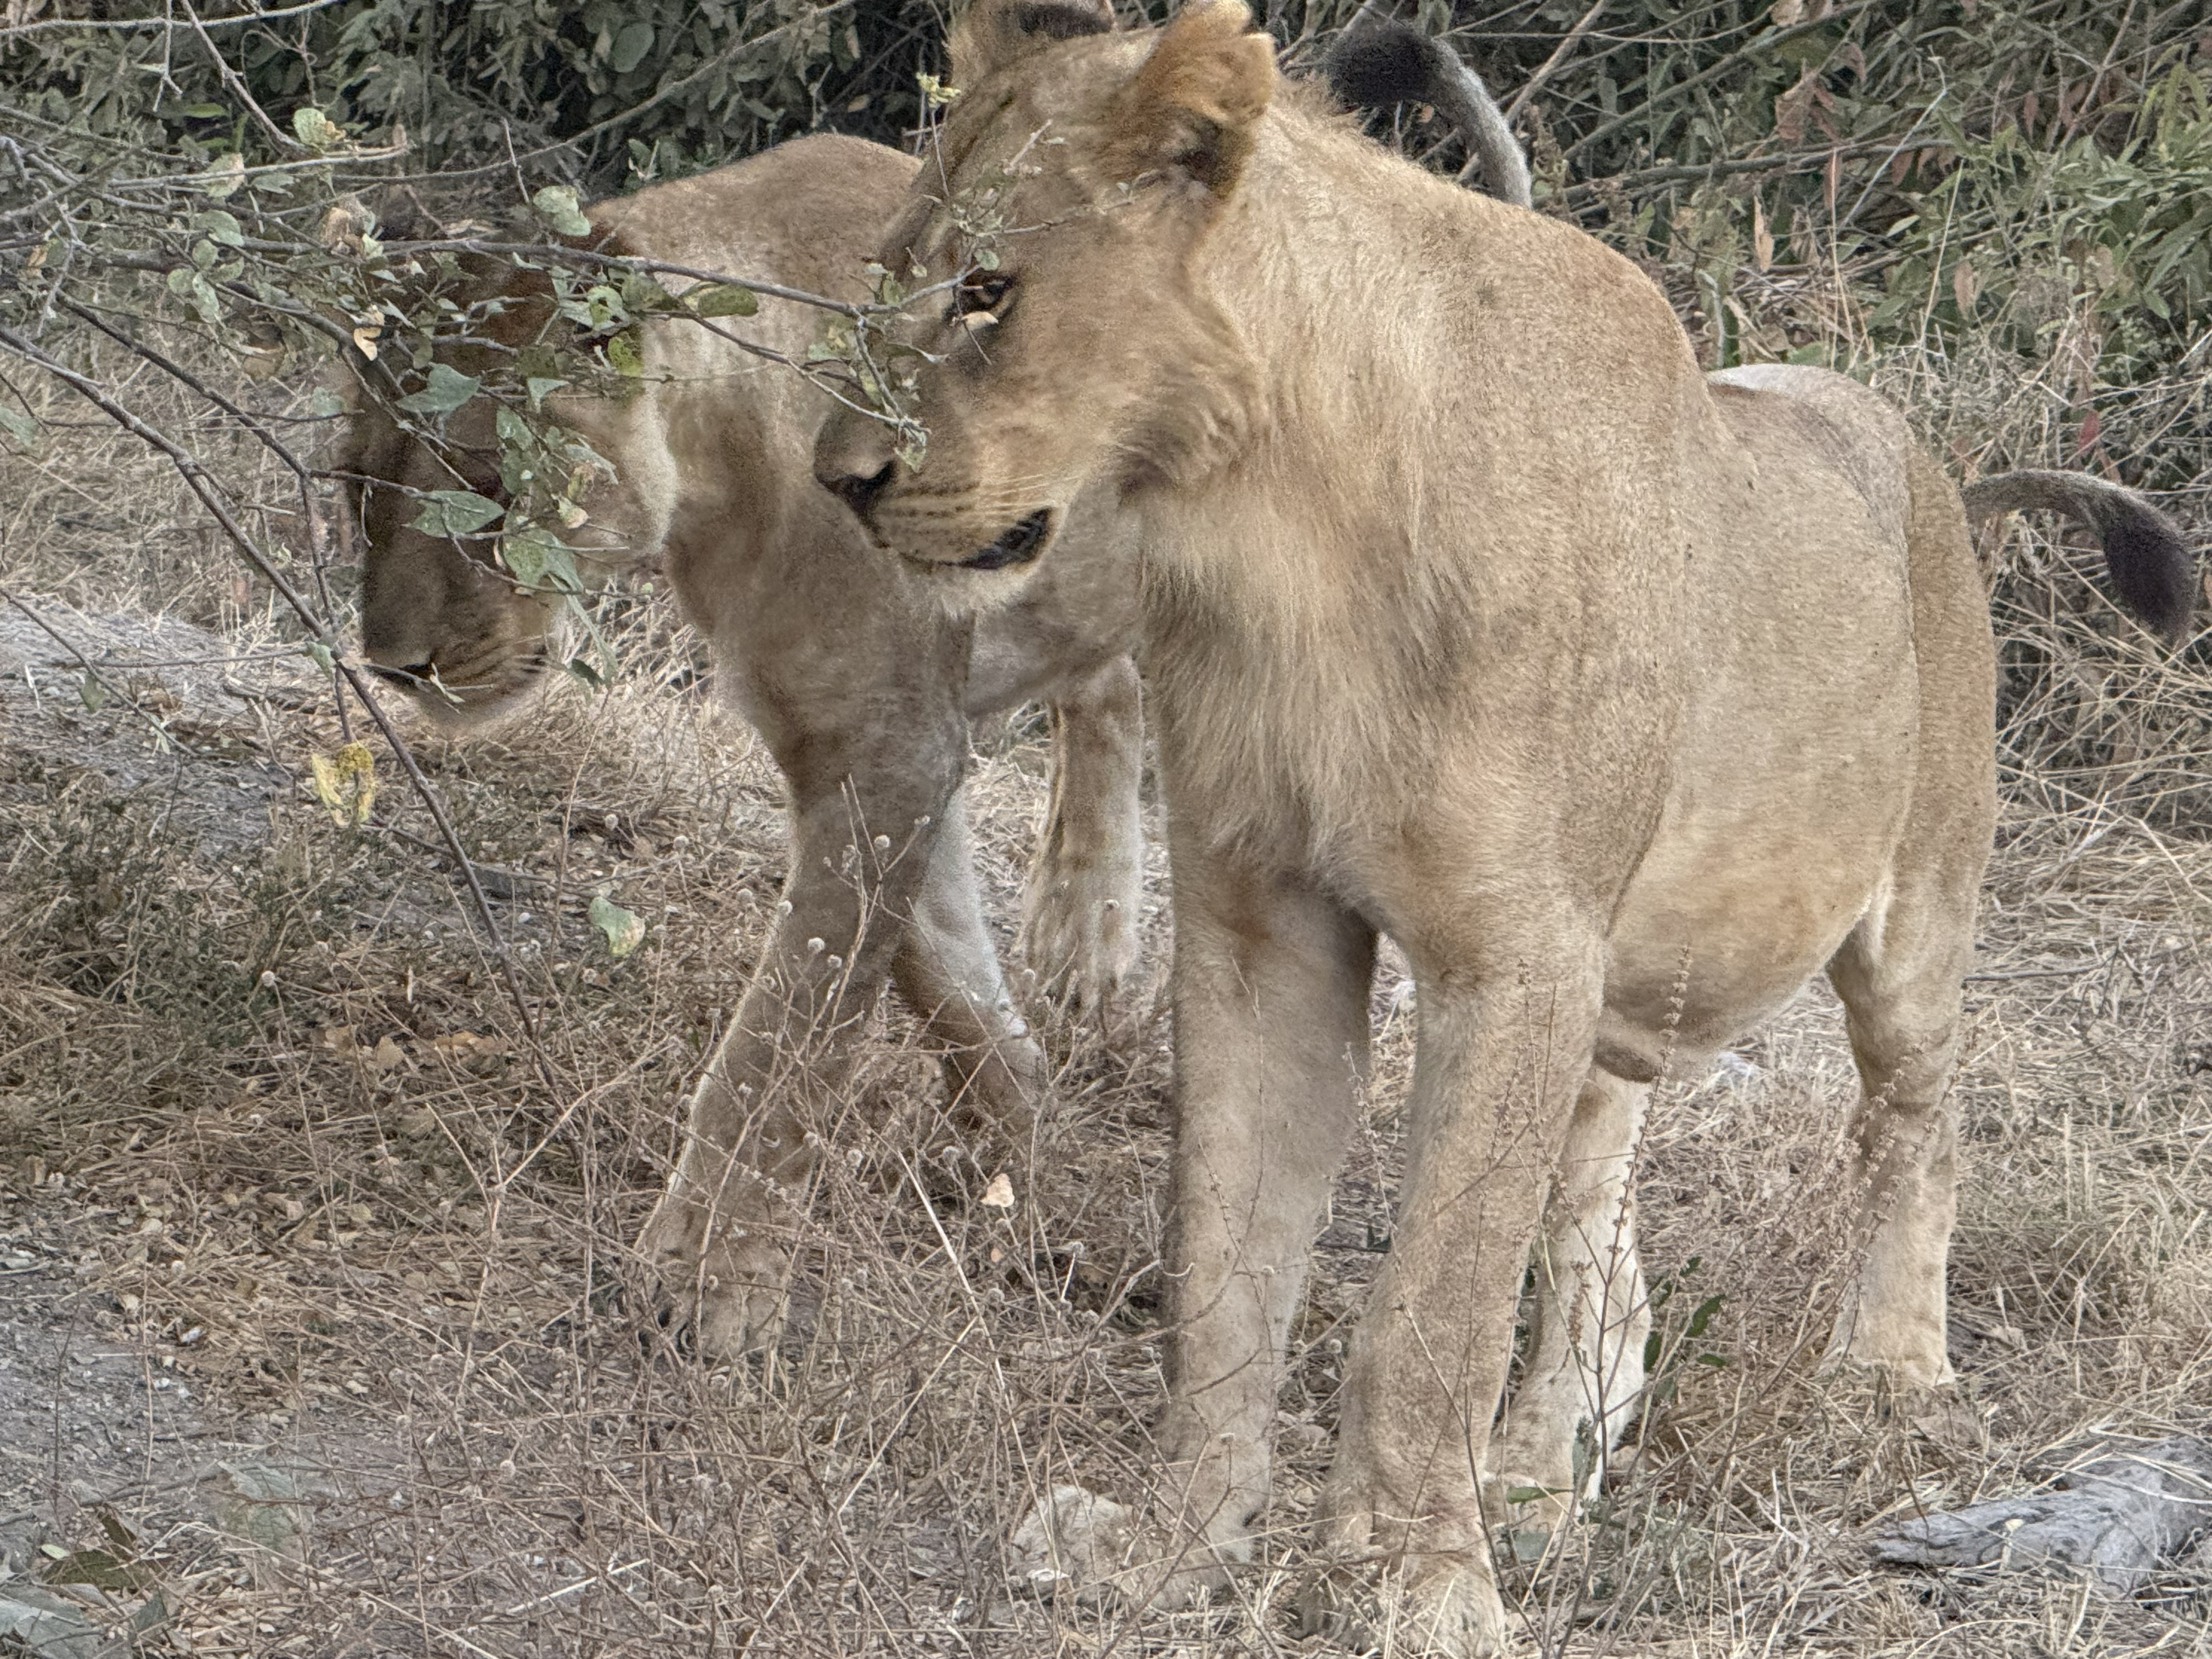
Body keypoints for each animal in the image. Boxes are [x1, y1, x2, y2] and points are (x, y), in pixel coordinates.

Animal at [811, 2, 2199, 1648]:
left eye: (988, 289)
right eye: (896, 270)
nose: (839, 479)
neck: (1281, 529)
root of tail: (1925, 463)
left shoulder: (1518, 951)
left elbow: (1435, 1307)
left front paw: (1418, 1587)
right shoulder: (1266, 917)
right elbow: (1225, 1263)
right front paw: (1173, 1547)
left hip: (1916, 903)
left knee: (1914, 1120)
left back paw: (1891, 1386)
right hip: (1619, 990)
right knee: (1602, 1214)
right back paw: (1544, 1474)